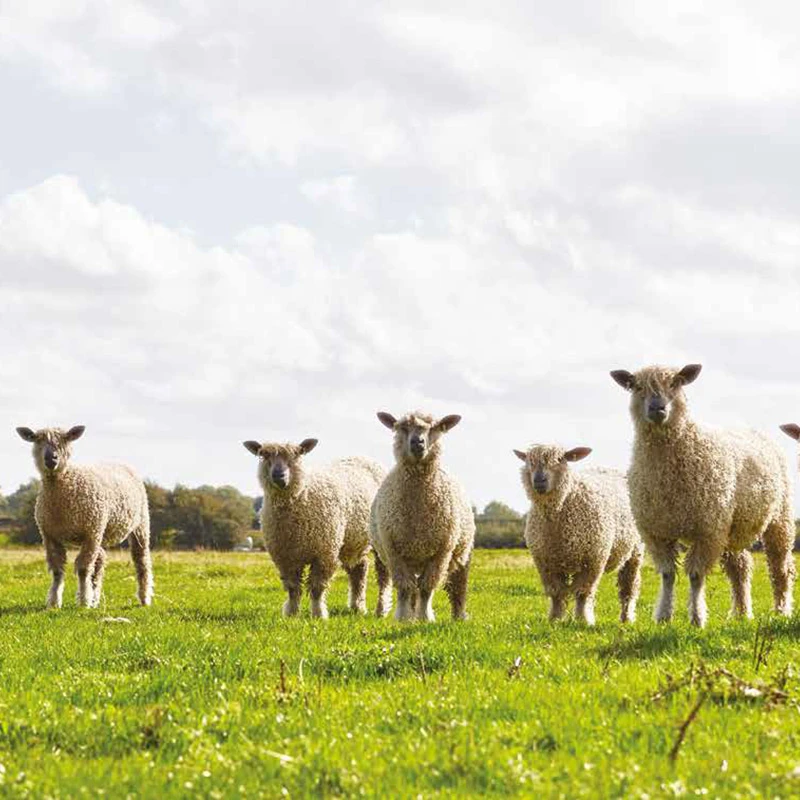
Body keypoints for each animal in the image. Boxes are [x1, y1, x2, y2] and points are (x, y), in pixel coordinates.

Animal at [16, 425, 153, 609]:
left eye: (65, 440)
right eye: (37, 440)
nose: (51, 459)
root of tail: (120, 462)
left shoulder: (90, 532)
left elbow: (83, 568)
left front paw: (83, 601)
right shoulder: (49, 535)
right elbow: (57, 570)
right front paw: (54, 602)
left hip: (138, 524)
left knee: (141, 560)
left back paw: (144, 598)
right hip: (100, 531)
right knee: (100, 559)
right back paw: (95, 598)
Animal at [243, 438, 384, 618]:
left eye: (297, 454)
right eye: (263, 455)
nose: (278, 476)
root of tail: (361, 457)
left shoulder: (325, 553)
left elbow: (317, 587)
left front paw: (318, 613)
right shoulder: (285, 557)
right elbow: (293, 588)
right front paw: (291, 614)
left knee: (383, 576)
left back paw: (381, 610)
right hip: (351, 541)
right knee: (359, 570)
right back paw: (357, 606)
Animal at [369, 411, 475, 622]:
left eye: (435, 427)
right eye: (402, 427)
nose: (417, 443)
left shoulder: (442, 551)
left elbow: (427, 587)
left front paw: (426, 617)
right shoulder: (393, 551)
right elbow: (404, 587)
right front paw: (402, 618)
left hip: (461, 553)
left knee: (457, 586)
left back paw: (459, 616)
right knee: (412, 587)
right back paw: (411, 614)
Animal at [514, 444, 643, 625]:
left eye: (560, 459)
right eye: (528, 462)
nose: (539, 481)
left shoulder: (593, 559)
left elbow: (582, 592)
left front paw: (583, 619)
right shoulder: (545, 562)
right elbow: (556, 593)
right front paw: (555, 619)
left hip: (635, 551)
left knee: (629, 587)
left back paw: (627, 618)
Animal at [610, 364, 795, 627]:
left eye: (676, 383)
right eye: (636, 386)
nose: (657, 409)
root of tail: (752, 429)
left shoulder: (706, 530)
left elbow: (696, 575)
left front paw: (697, 618)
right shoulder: (657, 532)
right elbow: (667, 574)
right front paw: (664, 616)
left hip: (779, 519)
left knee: (781, 568)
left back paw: (781, 610)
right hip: (730, 526)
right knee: (740, 568)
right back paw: (741, 613)